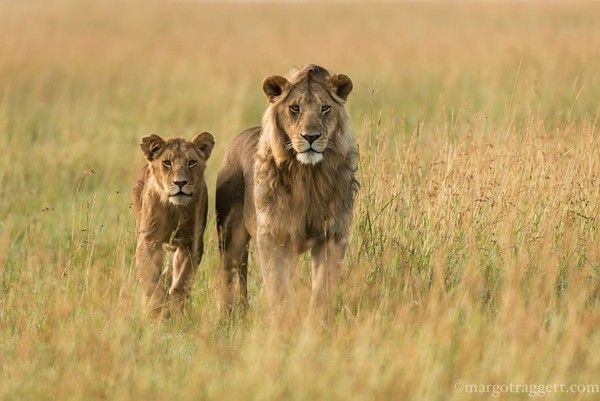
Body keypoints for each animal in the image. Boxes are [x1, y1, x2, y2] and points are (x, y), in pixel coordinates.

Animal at [134, 133, 216, 318]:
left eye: (191, 162)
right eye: (167, 162)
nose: (180, 183)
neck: (175, 208)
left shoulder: (191, 243)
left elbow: (181, 282)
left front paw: (175, 311)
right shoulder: (149, 241)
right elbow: (151, 281)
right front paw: (156, 309)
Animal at [216, 65, 356, 322]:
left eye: (325, 108)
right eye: (295, 108)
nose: (310, 137)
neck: (307, 176)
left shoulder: (332, 236)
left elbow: (323, 287)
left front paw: (317, 323)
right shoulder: (273, 236)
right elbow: (278, 287)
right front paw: (284, 323)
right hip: (231, 234)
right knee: (229, 272)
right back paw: (228, 317)